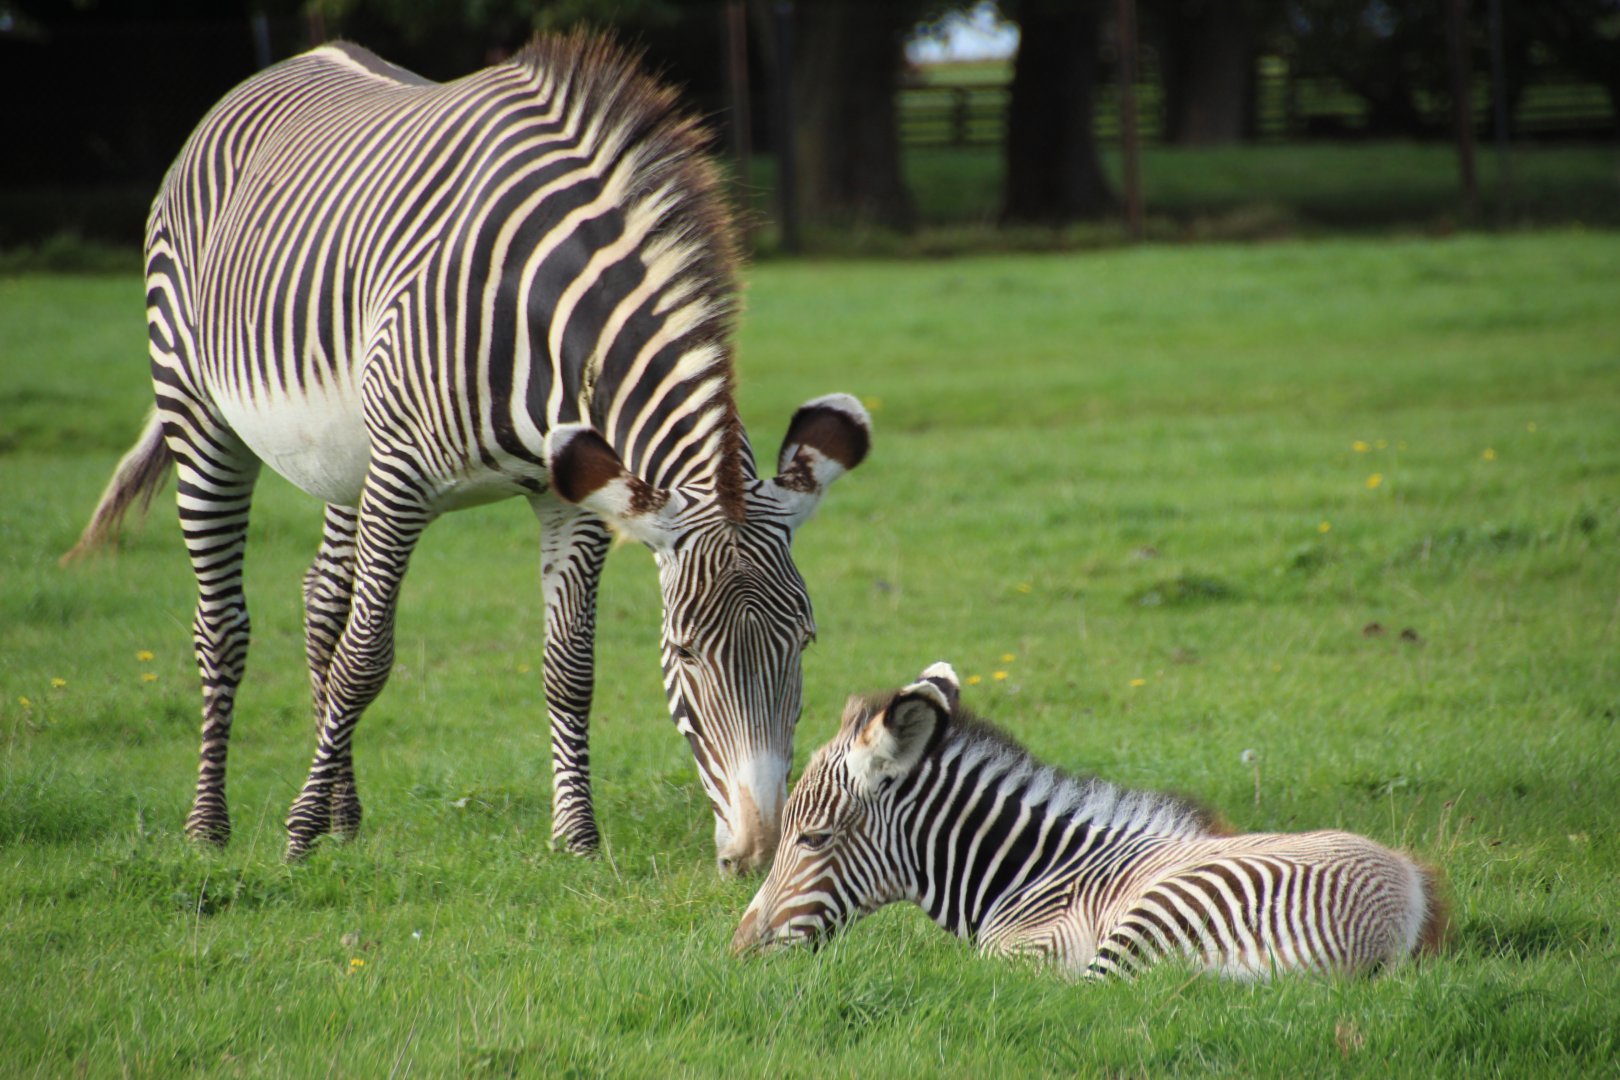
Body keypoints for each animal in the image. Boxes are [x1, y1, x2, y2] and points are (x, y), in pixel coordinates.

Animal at [63, 33, 871, 872]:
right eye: (681, 653)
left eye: (806, 640)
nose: (761, 850)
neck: (545, 321)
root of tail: (292, 63)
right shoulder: (402, 477)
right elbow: (366, 658)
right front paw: (296, 830)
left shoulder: (572, 492)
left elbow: (569, 665)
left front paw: (576, 835)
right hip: (200, 413)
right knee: (222, 623)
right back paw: (210, 825)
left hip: (341, 461)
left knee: (321, 601)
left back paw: (343, 814)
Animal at [732, 663, 1448, 978]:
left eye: (814, 838)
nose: (738, 952)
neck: (1027, 876)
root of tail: (1408, 907)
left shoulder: (1031, 953)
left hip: (1152, 919)